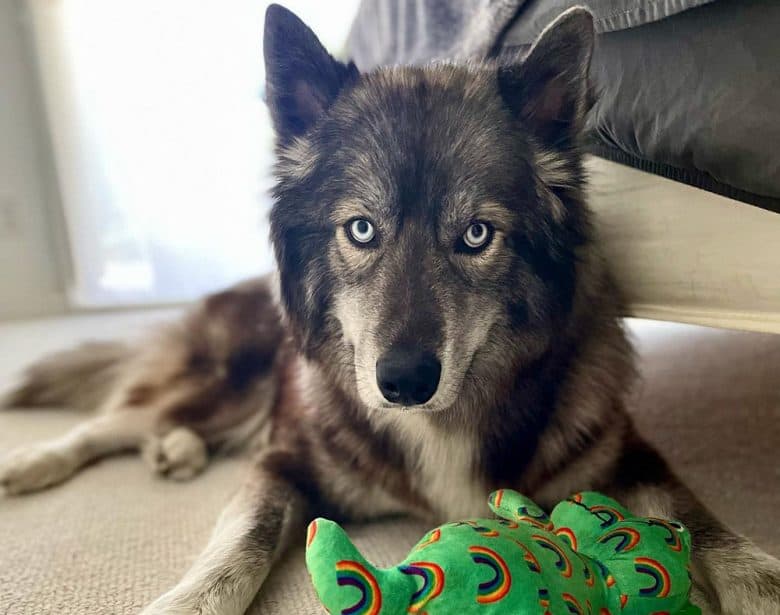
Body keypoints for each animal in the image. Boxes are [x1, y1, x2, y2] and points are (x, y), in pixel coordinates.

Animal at [1, 6, 780, 615]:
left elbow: (697, 514)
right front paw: (188, 596)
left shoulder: (625, 449)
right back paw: (36, 461)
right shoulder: (285, 464)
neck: (445, 421)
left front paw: (759, 578)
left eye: (477, 234)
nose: (403, 381)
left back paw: (177, 451)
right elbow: (240, 541)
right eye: (361, 229)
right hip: (227, 382)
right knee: (117, 419)